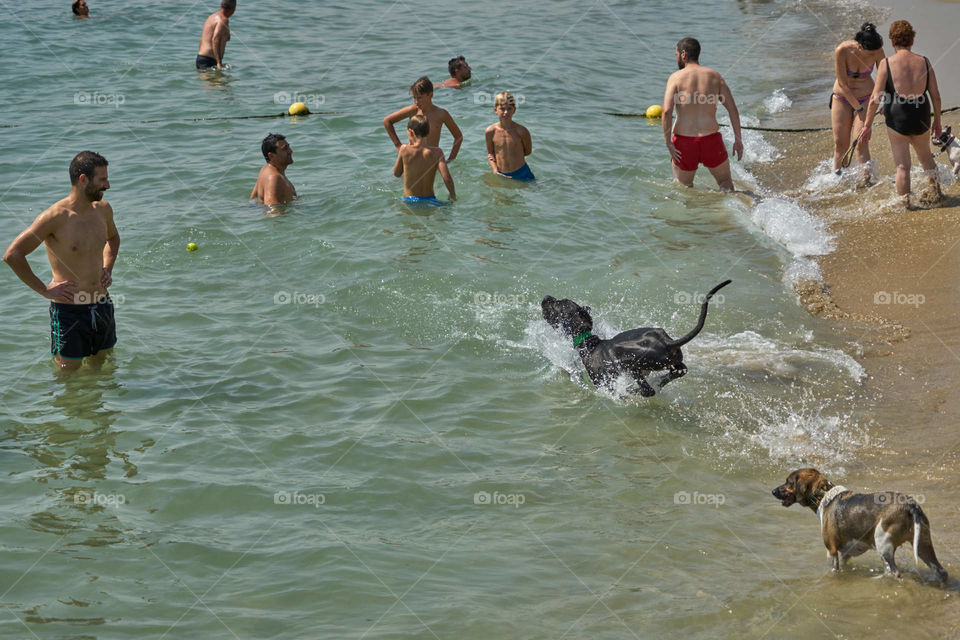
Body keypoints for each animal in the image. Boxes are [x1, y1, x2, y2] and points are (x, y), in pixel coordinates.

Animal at [544, 280, 732, 396]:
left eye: (558, 304)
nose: (546, 297)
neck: (589, 343)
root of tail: (667, 341)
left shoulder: (603, 382)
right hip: (671, 362)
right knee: (679, 371)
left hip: (630, 361)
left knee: (647, 390)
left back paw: (631, 392)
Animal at [768, 468, 948, 584]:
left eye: (788, 482)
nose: (773, 491)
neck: (824, 494)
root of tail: (910, 505)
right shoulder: (846, 552)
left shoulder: (831, 550)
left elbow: (833, 570)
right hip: (924, 544)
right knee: (941, 571)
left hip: (883, 545)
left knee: (894, 572)